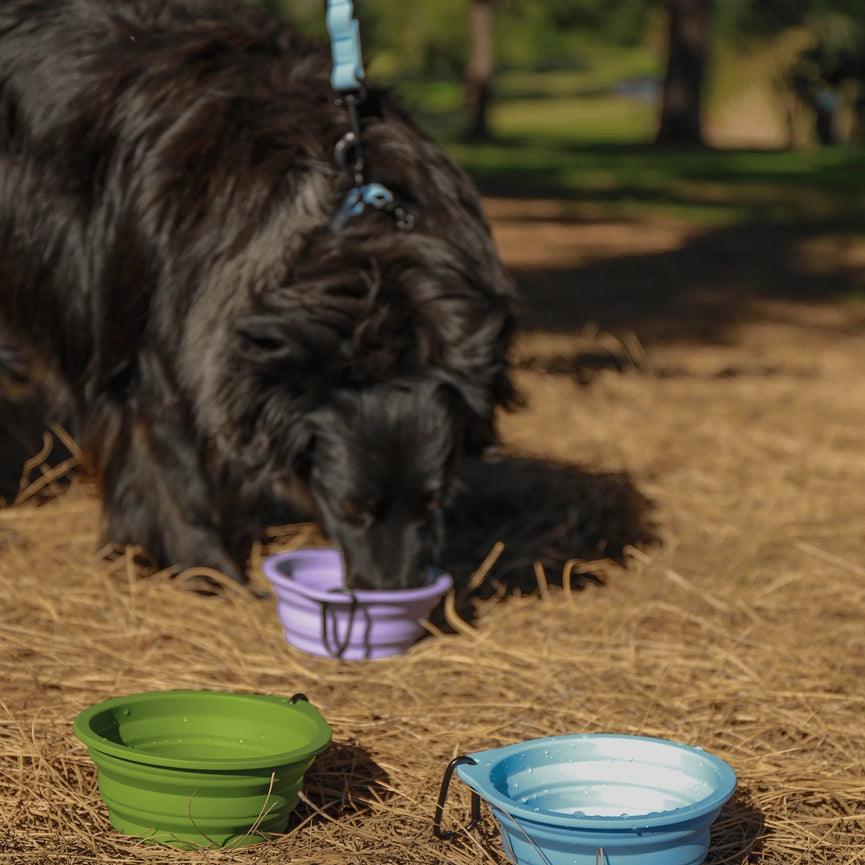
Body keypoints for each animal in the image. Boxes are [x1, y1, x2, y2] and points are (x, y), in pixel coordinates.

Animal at [0, 0, 512, 588]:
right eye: (350, 507)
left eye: (434, 503)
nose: (392, 595)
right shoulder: (146, 342)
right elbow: (166, 460)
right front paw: (208, 571)